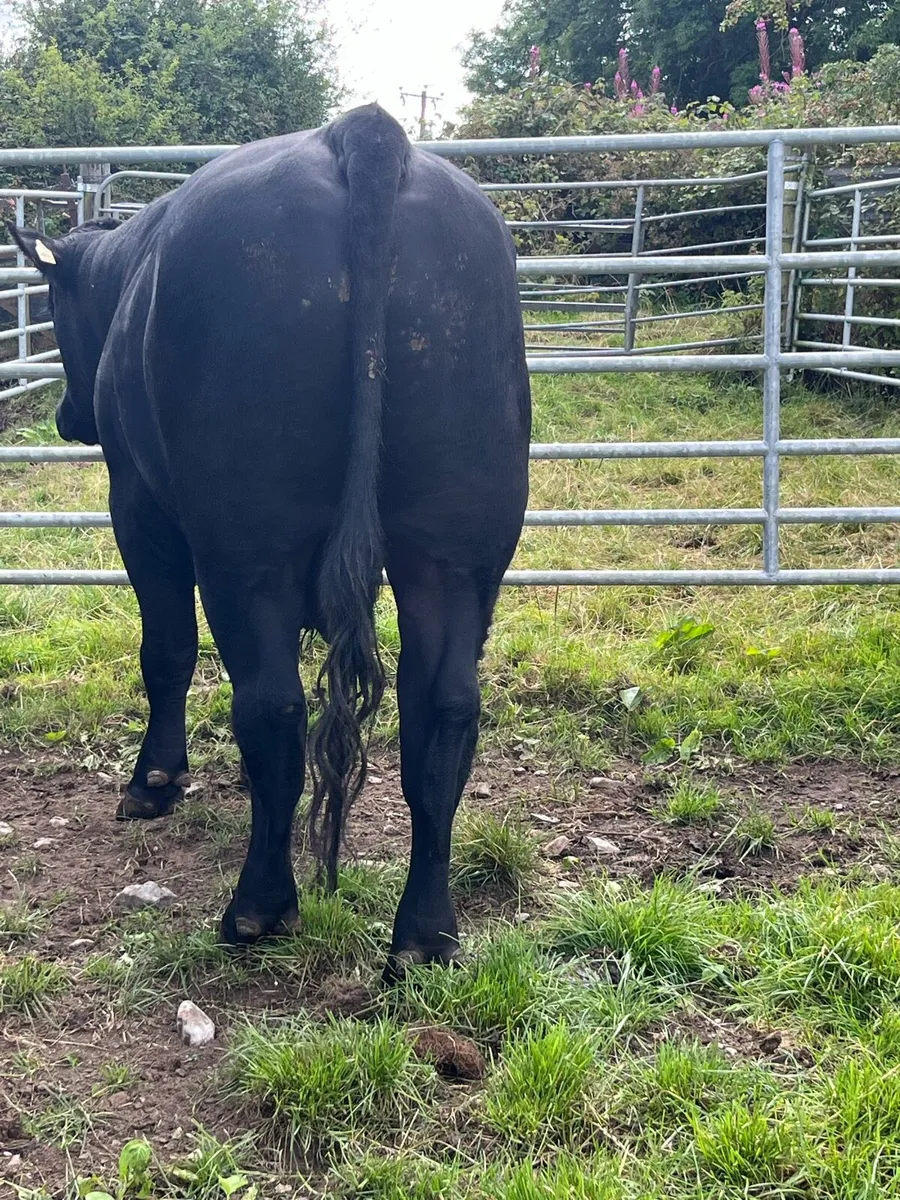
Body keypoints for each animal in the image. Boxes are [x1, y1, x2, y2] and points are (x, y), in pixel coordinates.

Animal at [10, 104, 531, 976]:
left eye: (52, 303)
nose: (68, 416)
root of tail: (364, 134)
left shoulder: (137, 503)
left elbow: (166, 649)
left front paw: (153, 781)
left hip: (245, 543)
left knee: (272, 703)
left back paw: (259, 906)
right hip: (458, 544)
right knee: (444, 710)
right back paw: (425, 934)